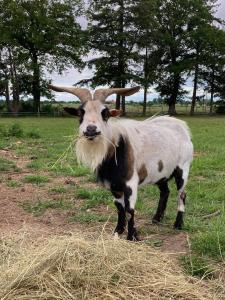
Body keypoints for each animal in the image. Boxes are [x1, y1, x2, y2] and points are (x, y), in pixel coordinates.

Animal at [49, 84, 193, 241]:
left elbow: (130, 209)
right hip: (161, 173)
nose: (91, 129)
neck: (116, 149)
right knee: (165, 192)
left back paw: (178, 224)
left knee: (182, 194)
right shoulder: (114, 185)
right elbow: (119, 208)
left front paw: (132, 236)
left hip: (183, 169)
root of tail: (182, 127)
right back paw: (156, 219)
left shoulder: (130, 182)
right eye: (81, 113)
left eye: (105, 113)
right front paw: (118, 231)